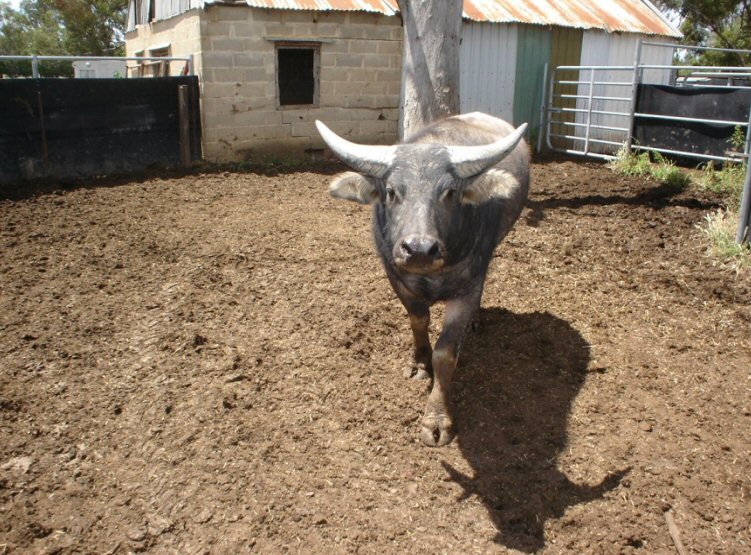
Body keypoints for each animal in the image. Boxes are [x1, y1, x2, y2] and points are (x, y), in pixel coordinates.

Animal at [316, 112, 530, 447]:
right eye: (392, 191)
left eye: (450, 193)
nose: (419, 249)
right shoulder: (396, 277)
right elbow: (418, 319)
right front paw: (419, 363)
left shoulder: (466, 289)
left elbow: (446, 353)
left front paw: (437, 419)